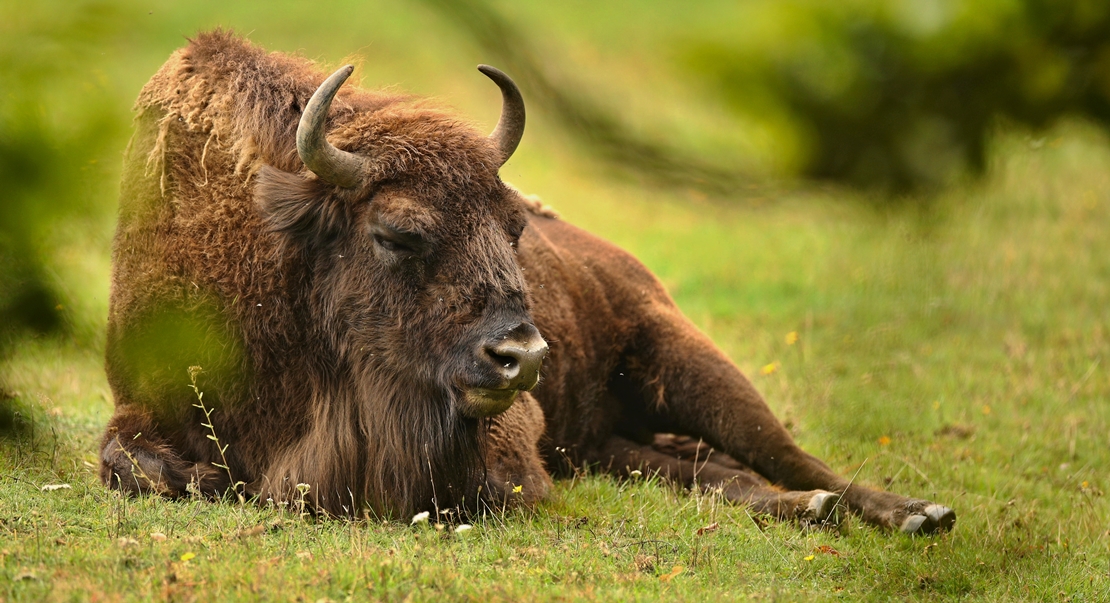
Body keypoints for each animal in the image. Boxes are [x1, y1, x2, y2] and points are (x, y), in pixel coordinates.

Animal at [104, 30, 954, 535]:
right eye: (398, 232)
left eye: (513, 223)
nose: (523, 357)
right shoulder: (137, 403)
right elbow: (131, 463)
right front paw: (201, 475)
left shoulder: (506, 442)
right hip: (608, 442)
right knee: (708, 471)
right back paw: (820, 509)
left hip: (691, 363)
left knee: (788, 455)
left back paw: (914, 512)